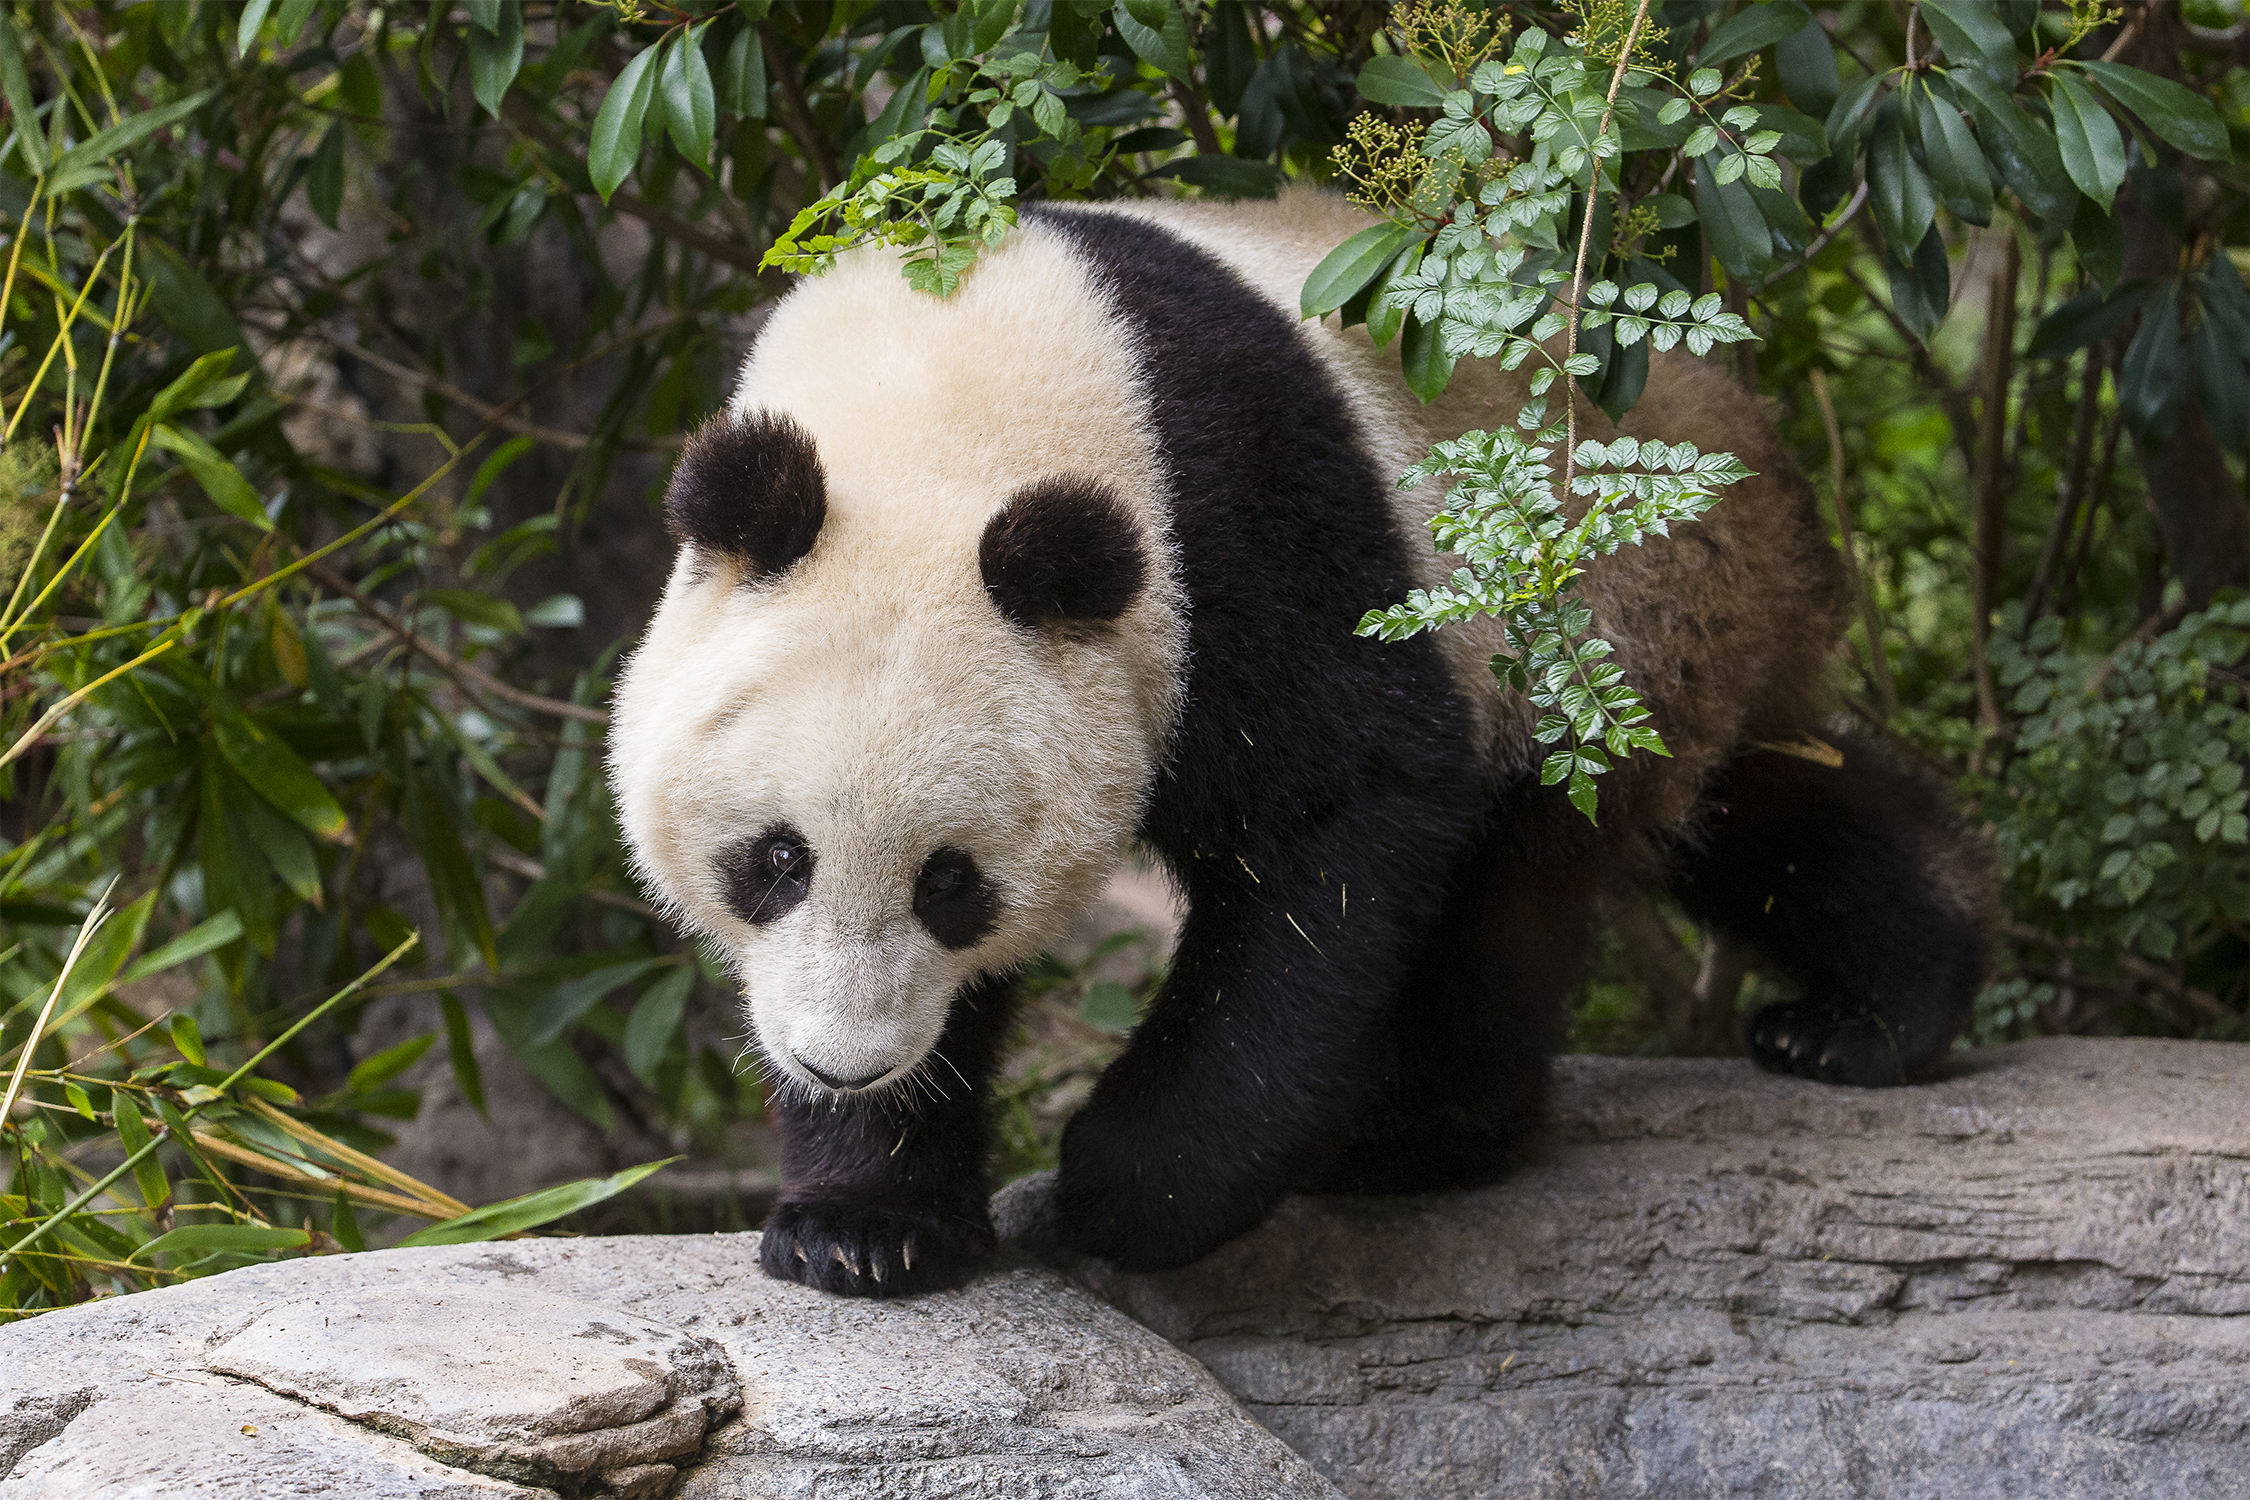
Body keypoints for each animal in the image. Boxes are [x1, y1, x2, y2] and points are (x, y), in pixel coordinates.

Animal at [607, 193, 1998, 1295]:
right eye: (775, 861)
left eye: (953, 883)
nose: (845, 1066)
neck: (946, 381)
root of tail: (1747, 442)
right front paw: (864, 1224)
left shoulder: (1239, 508)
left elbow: (1337, 821)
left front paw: (1128, 1186)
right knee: (1760, 801)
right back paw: (1884, 995)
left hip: (1599, 618)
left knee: (1504, 900)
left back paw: (1417, 1133)